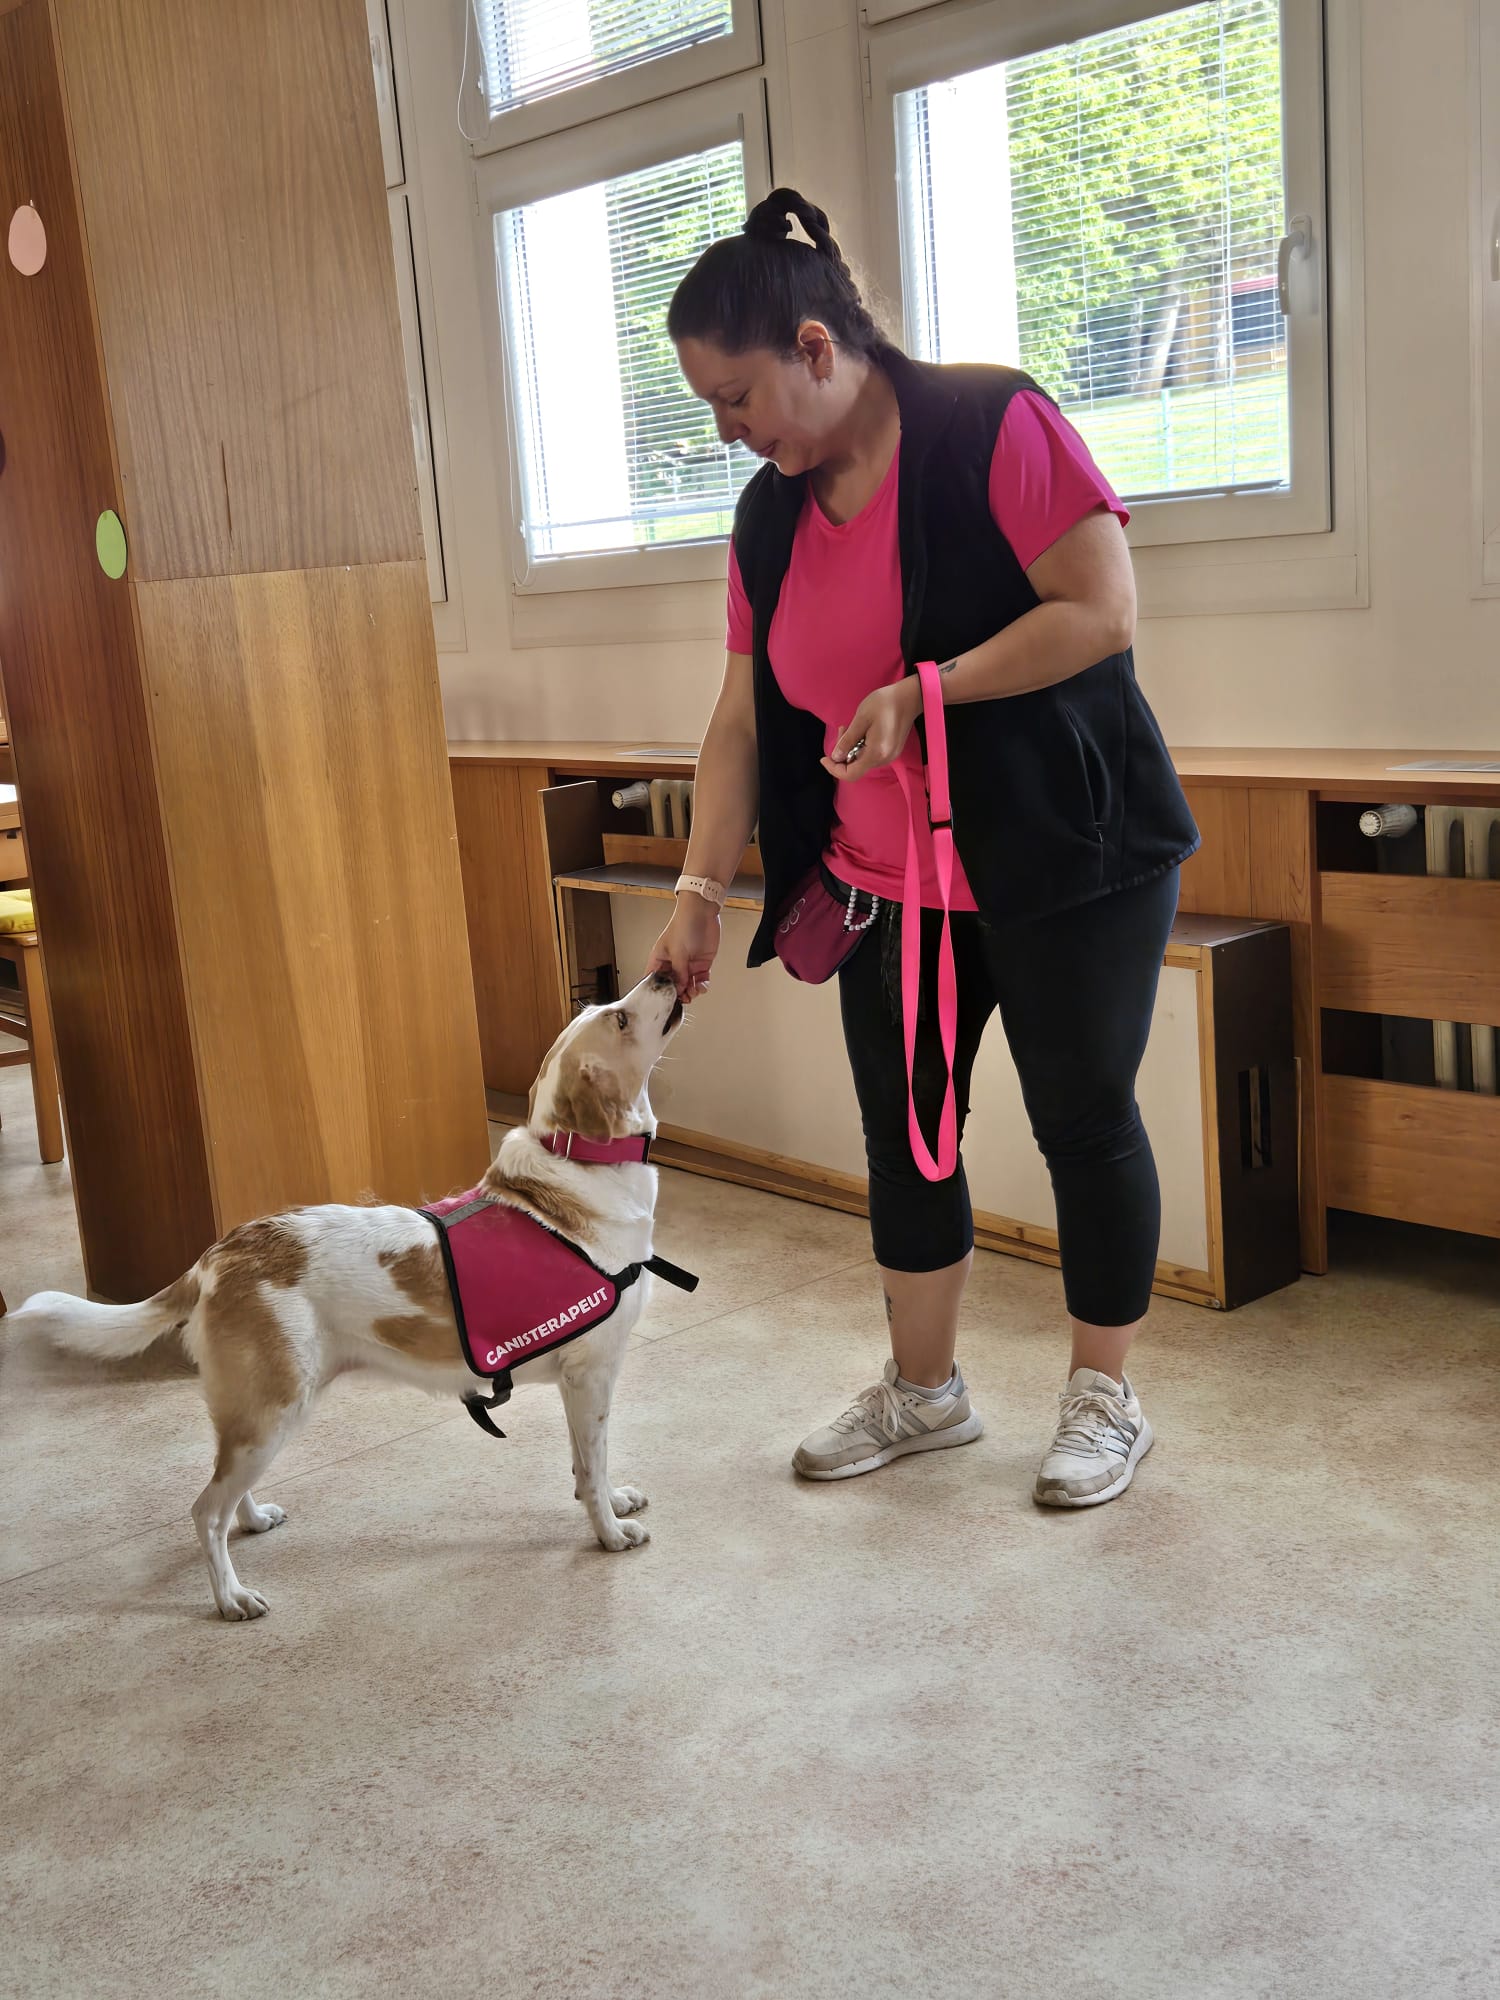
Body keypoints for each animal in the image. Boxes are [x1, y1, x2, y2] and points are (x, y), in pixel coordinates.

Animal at [12, 971, 687, 1619]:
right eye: (620, 1019)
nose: (664, 973)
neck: (577, 1172)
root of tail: (218, 1256)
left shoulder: (581, 1387)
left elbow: (585, 1462)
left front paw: (611, 1501)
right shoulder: (590, 1376)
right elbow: (592, 1468)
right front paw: (609, 1532)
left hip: (257, 1413)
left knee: (225, 1493)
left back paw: (252, 1521)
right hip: (274, 1410)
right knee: (205, 1511)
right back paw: (231, 1598)